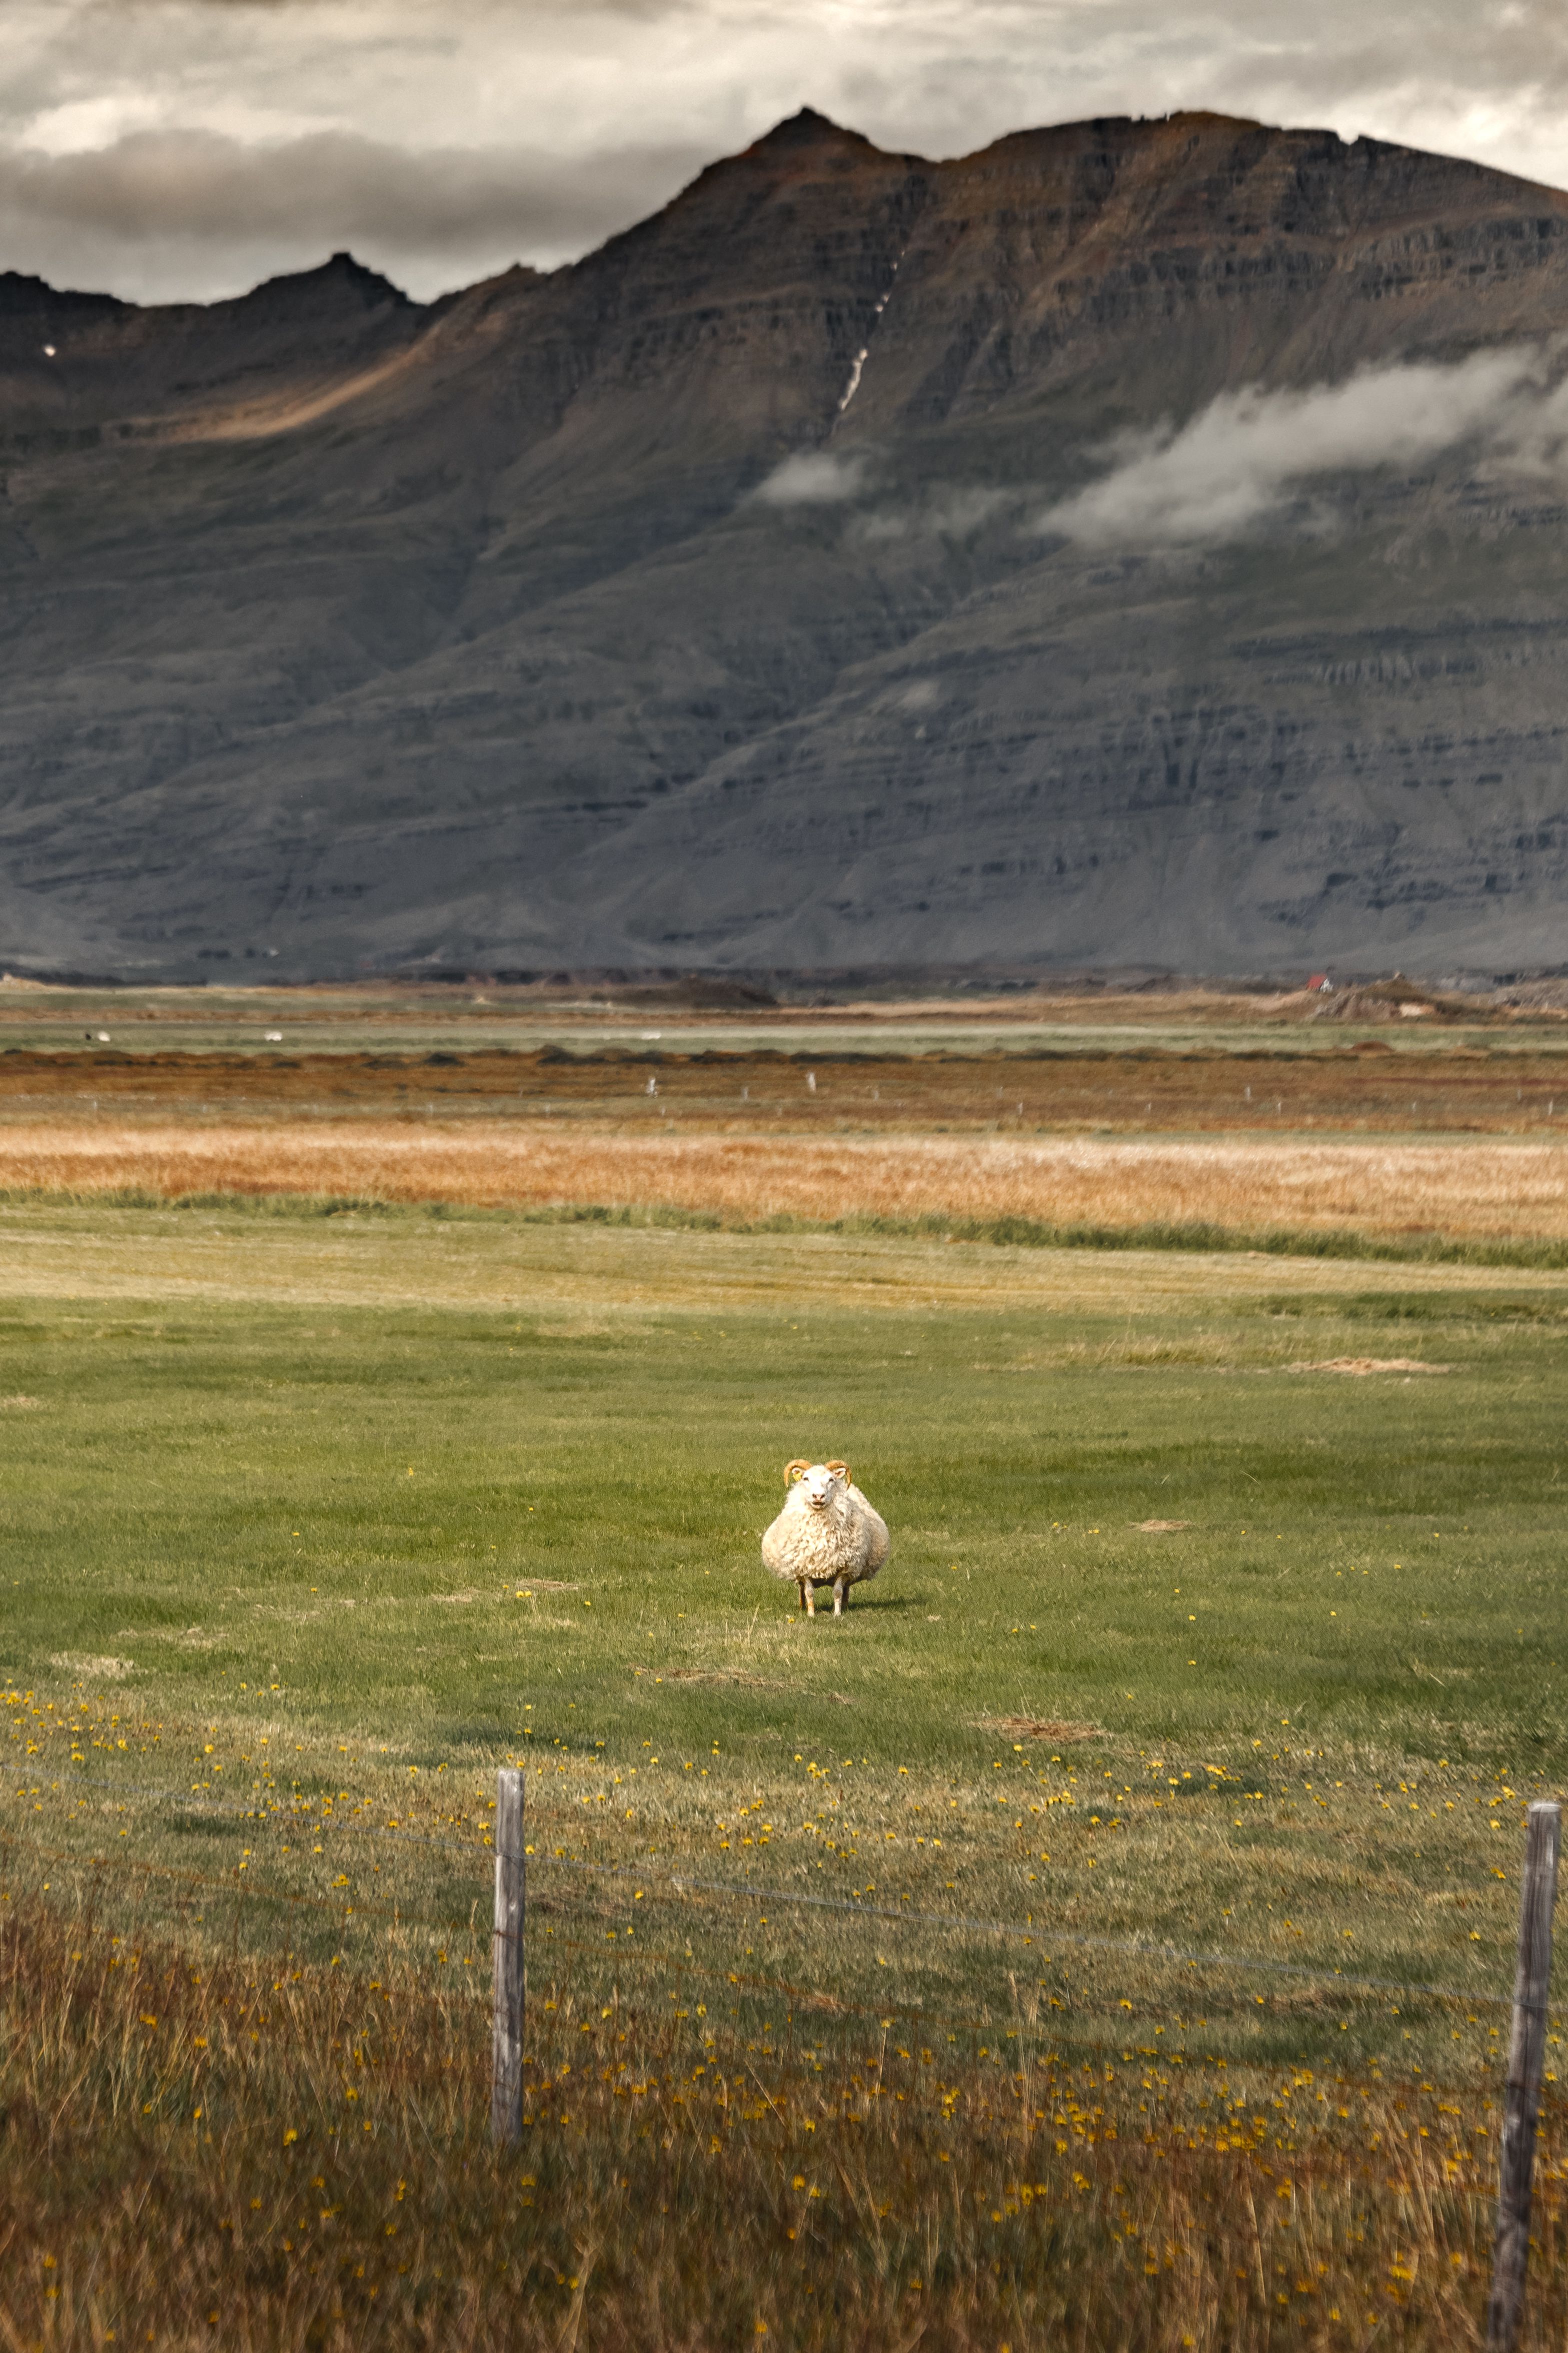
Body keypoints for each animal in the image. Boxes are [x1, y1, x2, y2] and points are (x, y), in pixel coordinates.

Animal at [761, 1458, 889, 1618]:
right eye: (806, 1478)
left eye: (831, 1480)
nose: (818, 1496)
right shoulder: (805, 1568)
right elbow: (809, 1593)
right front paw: (811, 1614)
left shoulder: (844, 1567)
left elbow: (838, 1592)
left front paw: (837, 1614)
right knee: (801, 1589)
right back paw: (802, 1607)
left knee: (846, 1589)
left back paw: (845, 1606)